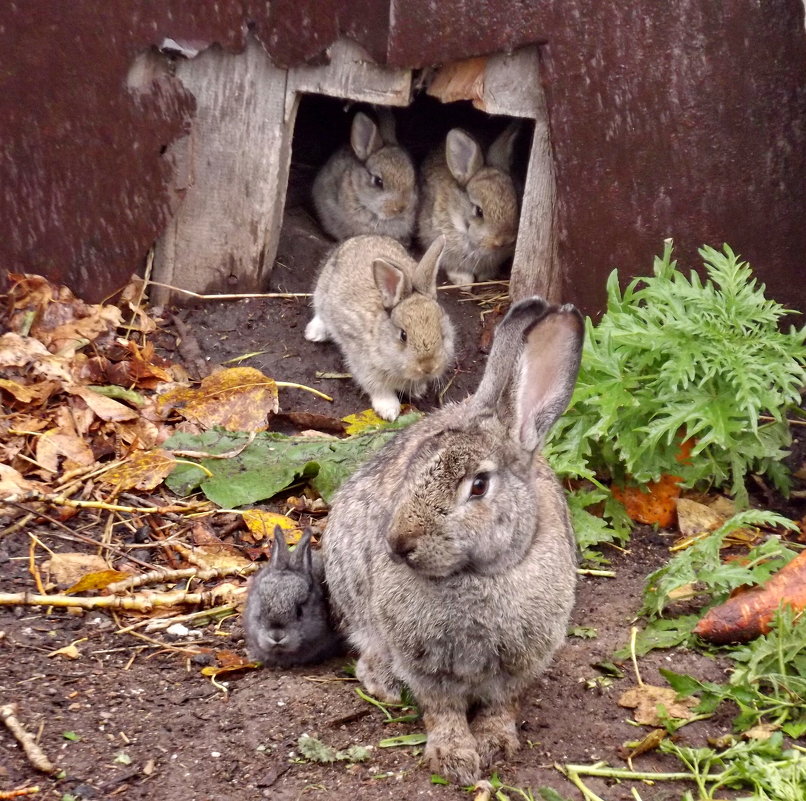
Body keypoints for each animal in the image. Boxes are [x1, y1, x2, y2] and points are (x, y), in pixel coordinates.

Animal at [304, 233, 454, 422]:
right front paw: (389, 410)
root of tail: (360, 238)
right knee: (320, 312)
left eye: (442, 333)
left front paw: (418, 390)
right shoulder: (364, 364)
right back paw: (314, 333)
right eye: (403, 335)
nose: (428, 367)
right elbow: (377, 388)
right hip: (322, 291)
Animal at [324, 296, 588, 784]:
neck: (478, 576)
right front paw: (454, 758)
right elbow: (441, 709)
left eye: (479, 486)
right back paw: (384, 683)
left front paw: (495, 744)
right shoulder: (426, 666)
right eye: (413, 470)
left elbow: (502, 705)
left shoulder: (519, 666)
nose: (398, 544)